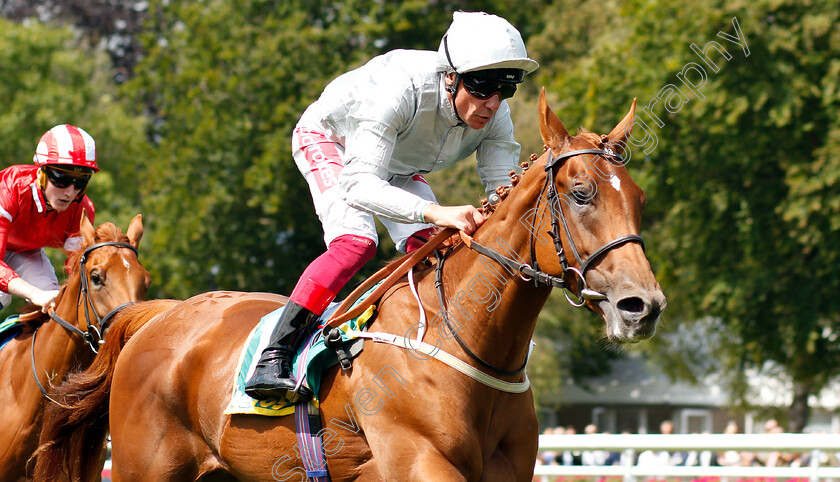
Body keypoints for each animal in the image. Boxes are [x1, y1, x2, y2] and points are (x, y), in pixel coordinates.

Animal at [34, 91, 664, 482]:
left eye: (639, 199)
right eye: (581, 193)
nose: (642, 306)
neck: (466, 341)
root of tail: (155, 317)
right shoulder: (419, 460)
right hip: (145, 465)